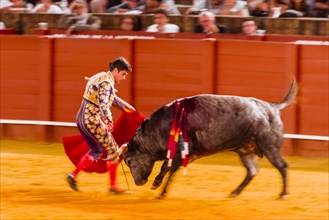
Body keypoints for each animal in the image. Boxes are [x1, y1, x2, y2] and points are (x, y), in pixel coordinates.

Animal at [123, 80, 298, 199]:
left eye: (130, 161)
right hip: (245, 149)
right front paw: (159, 188)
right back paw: (235, 192)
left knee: (282, 166)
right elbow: (168, 169)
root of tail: (273, 106)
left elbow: (167, 169)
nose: (138, 182)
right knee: (252, 171)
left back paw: (283, 194)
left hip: (269, 146)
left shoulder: (179, 153)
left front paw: (159, 190)